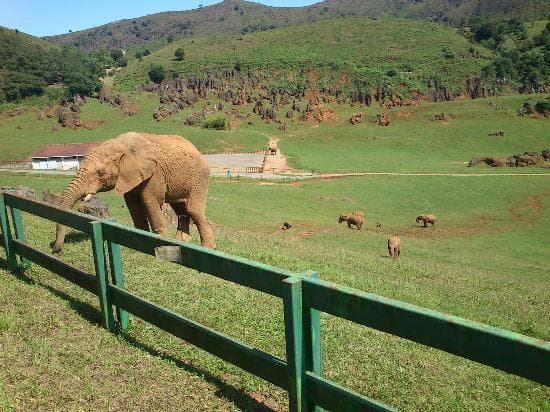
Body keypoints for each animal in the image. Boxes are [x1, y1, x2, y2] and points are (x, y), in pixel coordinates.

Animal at [51, 132, 216, 253]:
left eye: (101, 173)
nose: (55, 250)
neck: (119, 146)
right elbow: (133, 205)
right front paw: (139, 242)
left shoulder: (154, 173)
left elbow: (150, 201)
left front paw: (160, 245)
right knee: (182, 210)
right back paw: (181, 242)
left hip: (199, 177)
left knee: (192, 209)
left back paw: (208, 248)